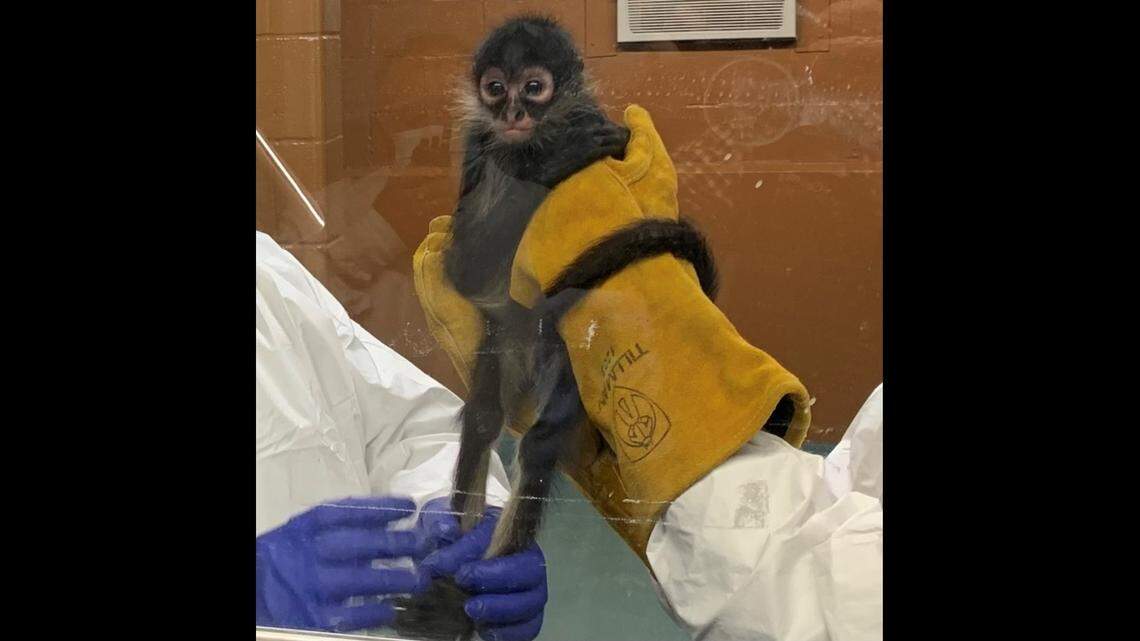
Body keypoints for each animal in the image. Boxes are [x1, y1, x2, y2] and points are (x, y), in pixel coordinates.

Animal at [391, 16, 749, 640]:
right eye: (494, 88)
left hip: (566, 362)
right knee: (483, 416)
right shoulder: (478, 143)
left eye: (533, 88)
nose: (513, 112)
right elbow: (467, 269)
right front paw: (546, 160)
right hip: (505, 342)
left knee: (537, 444)